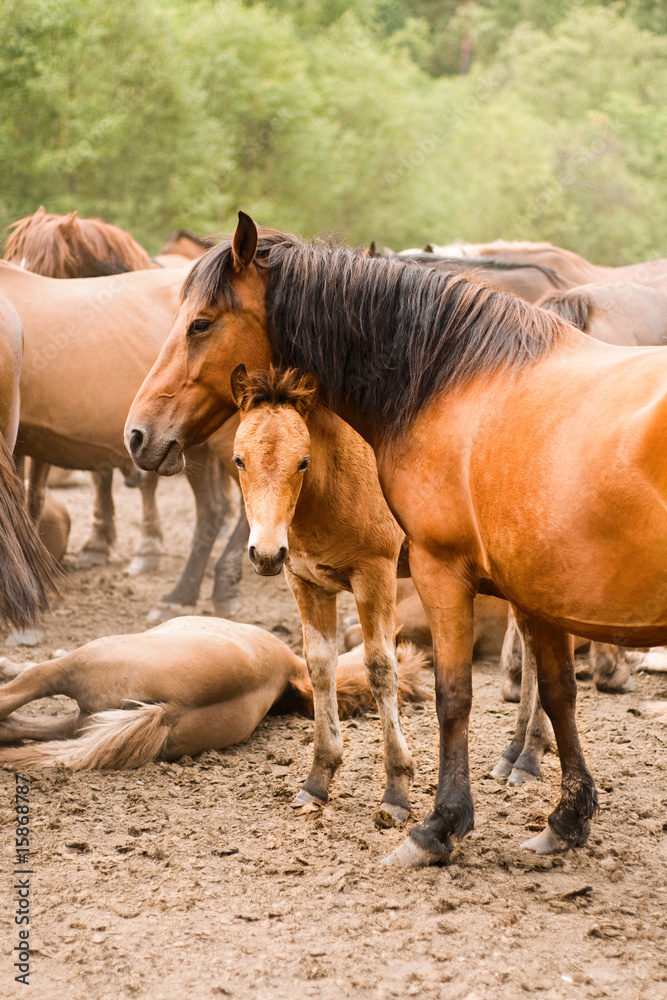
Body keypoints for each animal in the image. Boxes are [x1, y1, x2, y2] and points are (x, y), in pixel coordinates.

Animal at [125, 213, 667, 868]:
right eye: (239, 462)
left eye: (200, 323)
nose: (137, 434)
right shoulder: (312, 578)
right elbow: (325, 667)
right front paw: (320, 780)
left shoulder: (408, 572)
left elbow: (426, 683)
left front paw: (421, 812)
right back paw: (521, 755)